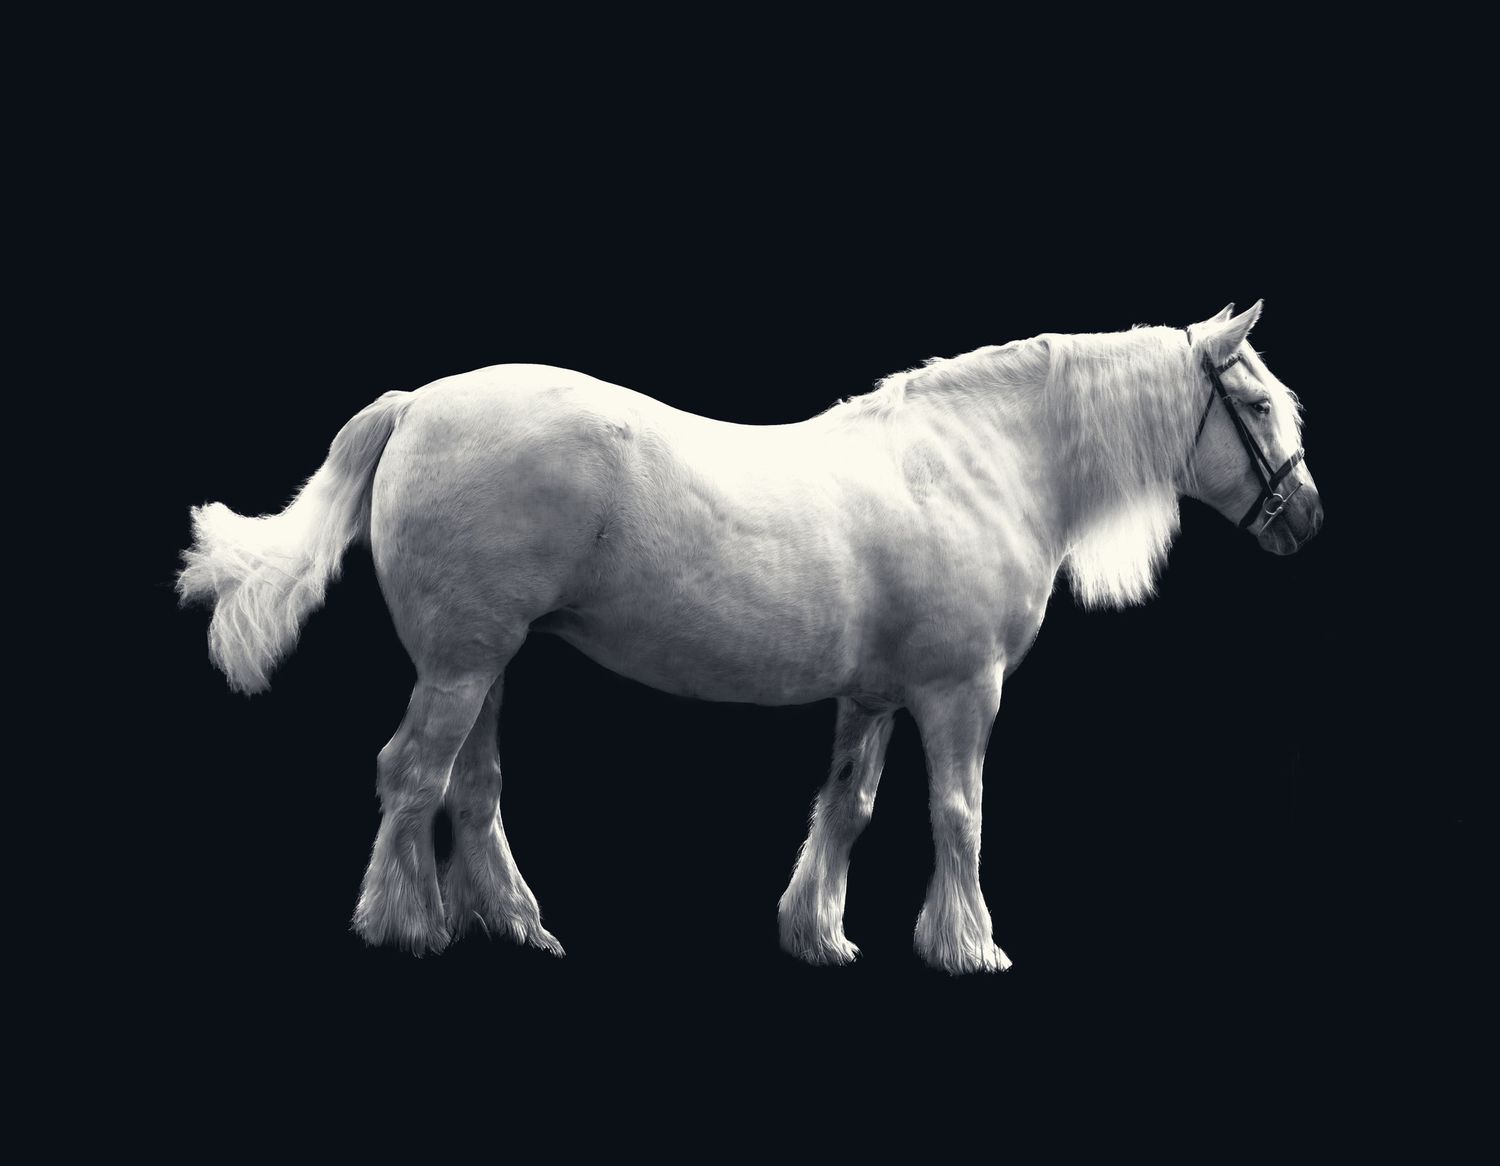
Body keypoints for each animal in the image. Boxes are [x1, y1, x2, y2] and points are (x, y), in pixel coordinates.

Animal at [177, 301, 1322, 973]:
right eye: (1261, 403)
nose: (1308, 517)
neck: (978, 461)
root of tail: (415, 406)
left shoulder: (873, 695)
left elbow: (846, 807)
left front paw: (817, 930)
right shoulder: (962, 692)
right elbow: (958, 815)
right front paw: (968, 943)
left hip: (486, 663)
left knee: (472, 786)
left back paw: (517, 921)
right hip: (460, 666)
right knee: (412, 775)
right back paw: (404, 922)